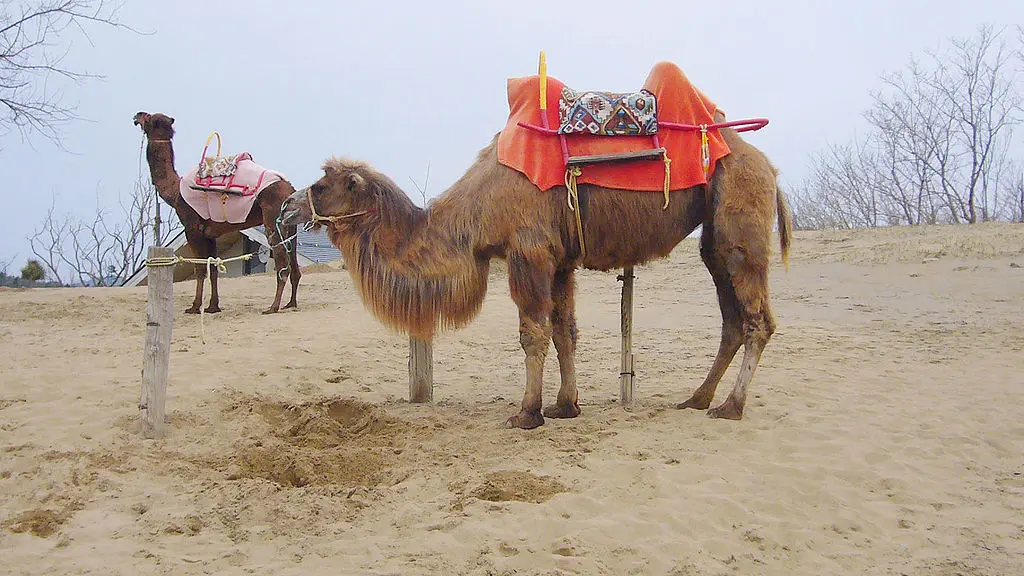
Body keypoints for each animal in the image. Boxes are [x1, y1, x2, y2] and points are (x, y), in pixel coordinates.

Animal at [133, 112, 301, 314]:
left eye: (149, 117)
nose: (137, 115)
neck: (175, 191)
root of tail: (289, 188)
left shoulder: (192, 228)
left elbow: (199, 269)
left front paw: (195, 307)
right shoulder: (210, 233)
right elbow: (212, 267)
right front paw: (213, 306)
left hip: (272, 219)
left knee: (282, 261)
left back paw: (273, 307)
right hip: (290, 224)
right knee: (294, 264)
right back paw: (290, 303)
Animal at [279, 122, 792, 429]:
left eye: (320, 187)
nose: (286, 206)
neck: (472, 215)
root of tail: (770, 166)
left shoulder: (528, 251)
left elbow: (533, 333)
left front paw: (526, 413)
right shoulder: (560, 259)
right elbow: (565, 331)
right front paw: (565, 405)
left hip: (740, 222)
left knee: (757, 320)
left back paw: (731, 406)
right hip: (715, 240)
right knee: (731, 319)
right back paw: (697, 399)